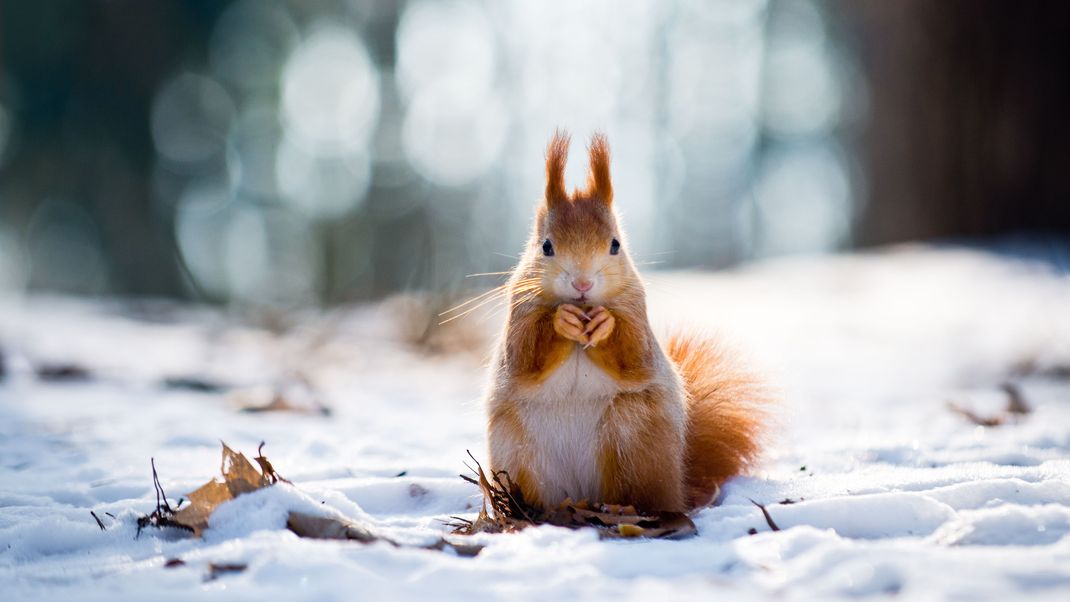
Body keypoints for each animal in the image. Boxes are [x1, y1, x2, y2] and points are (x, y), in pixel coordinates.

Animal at [485, 132, 770, 513]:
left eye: (615, 245)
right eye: (546, 247)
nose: (582, 284)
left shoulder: (637, 313)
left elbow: (634, 356)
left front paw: (605, 325)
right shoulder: (519, 314)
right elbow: (524, 357)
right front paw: (561, 320)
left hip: (633, 435)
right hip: (518, 451)